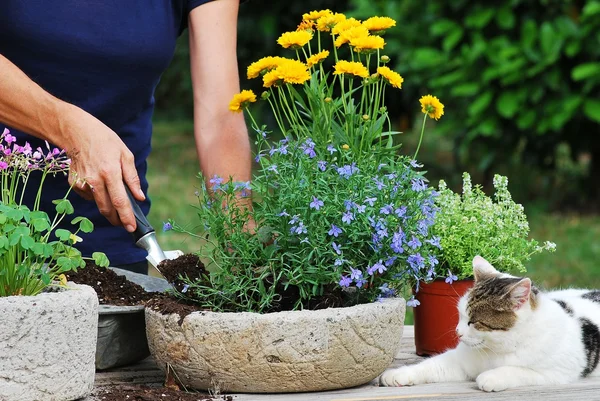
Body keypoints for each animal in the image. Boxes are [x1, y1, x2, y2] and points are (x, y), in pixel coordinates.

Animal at [380, 256, 600, 390]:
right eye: (460, 315)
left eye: (474, 322)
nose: (457, 332)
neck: (498, 349)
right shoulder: (458, 362)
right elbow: (429, 365)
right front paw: (399, 374)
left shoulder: (556, 373)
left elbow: (519, 370)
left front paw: (491, 377)